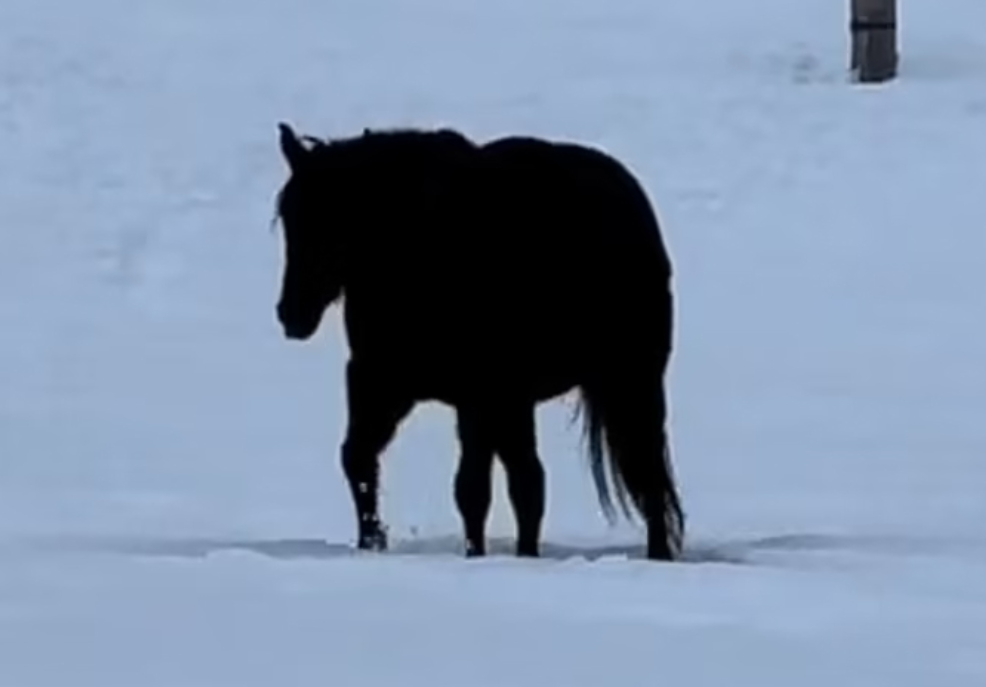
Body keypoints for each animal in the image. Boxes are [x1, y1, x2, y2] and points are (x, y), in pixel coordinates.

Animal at [270, 121, 684, 560]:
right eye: (288, 218)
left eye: (334, 221)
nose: (291, 313)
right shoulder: (381, 380)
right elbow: (359, 458)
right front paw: (372, 543)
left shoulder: (479, 395)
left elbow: (472, 489)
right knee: (532, 478)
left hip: (627, 381)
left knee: (643, 472)